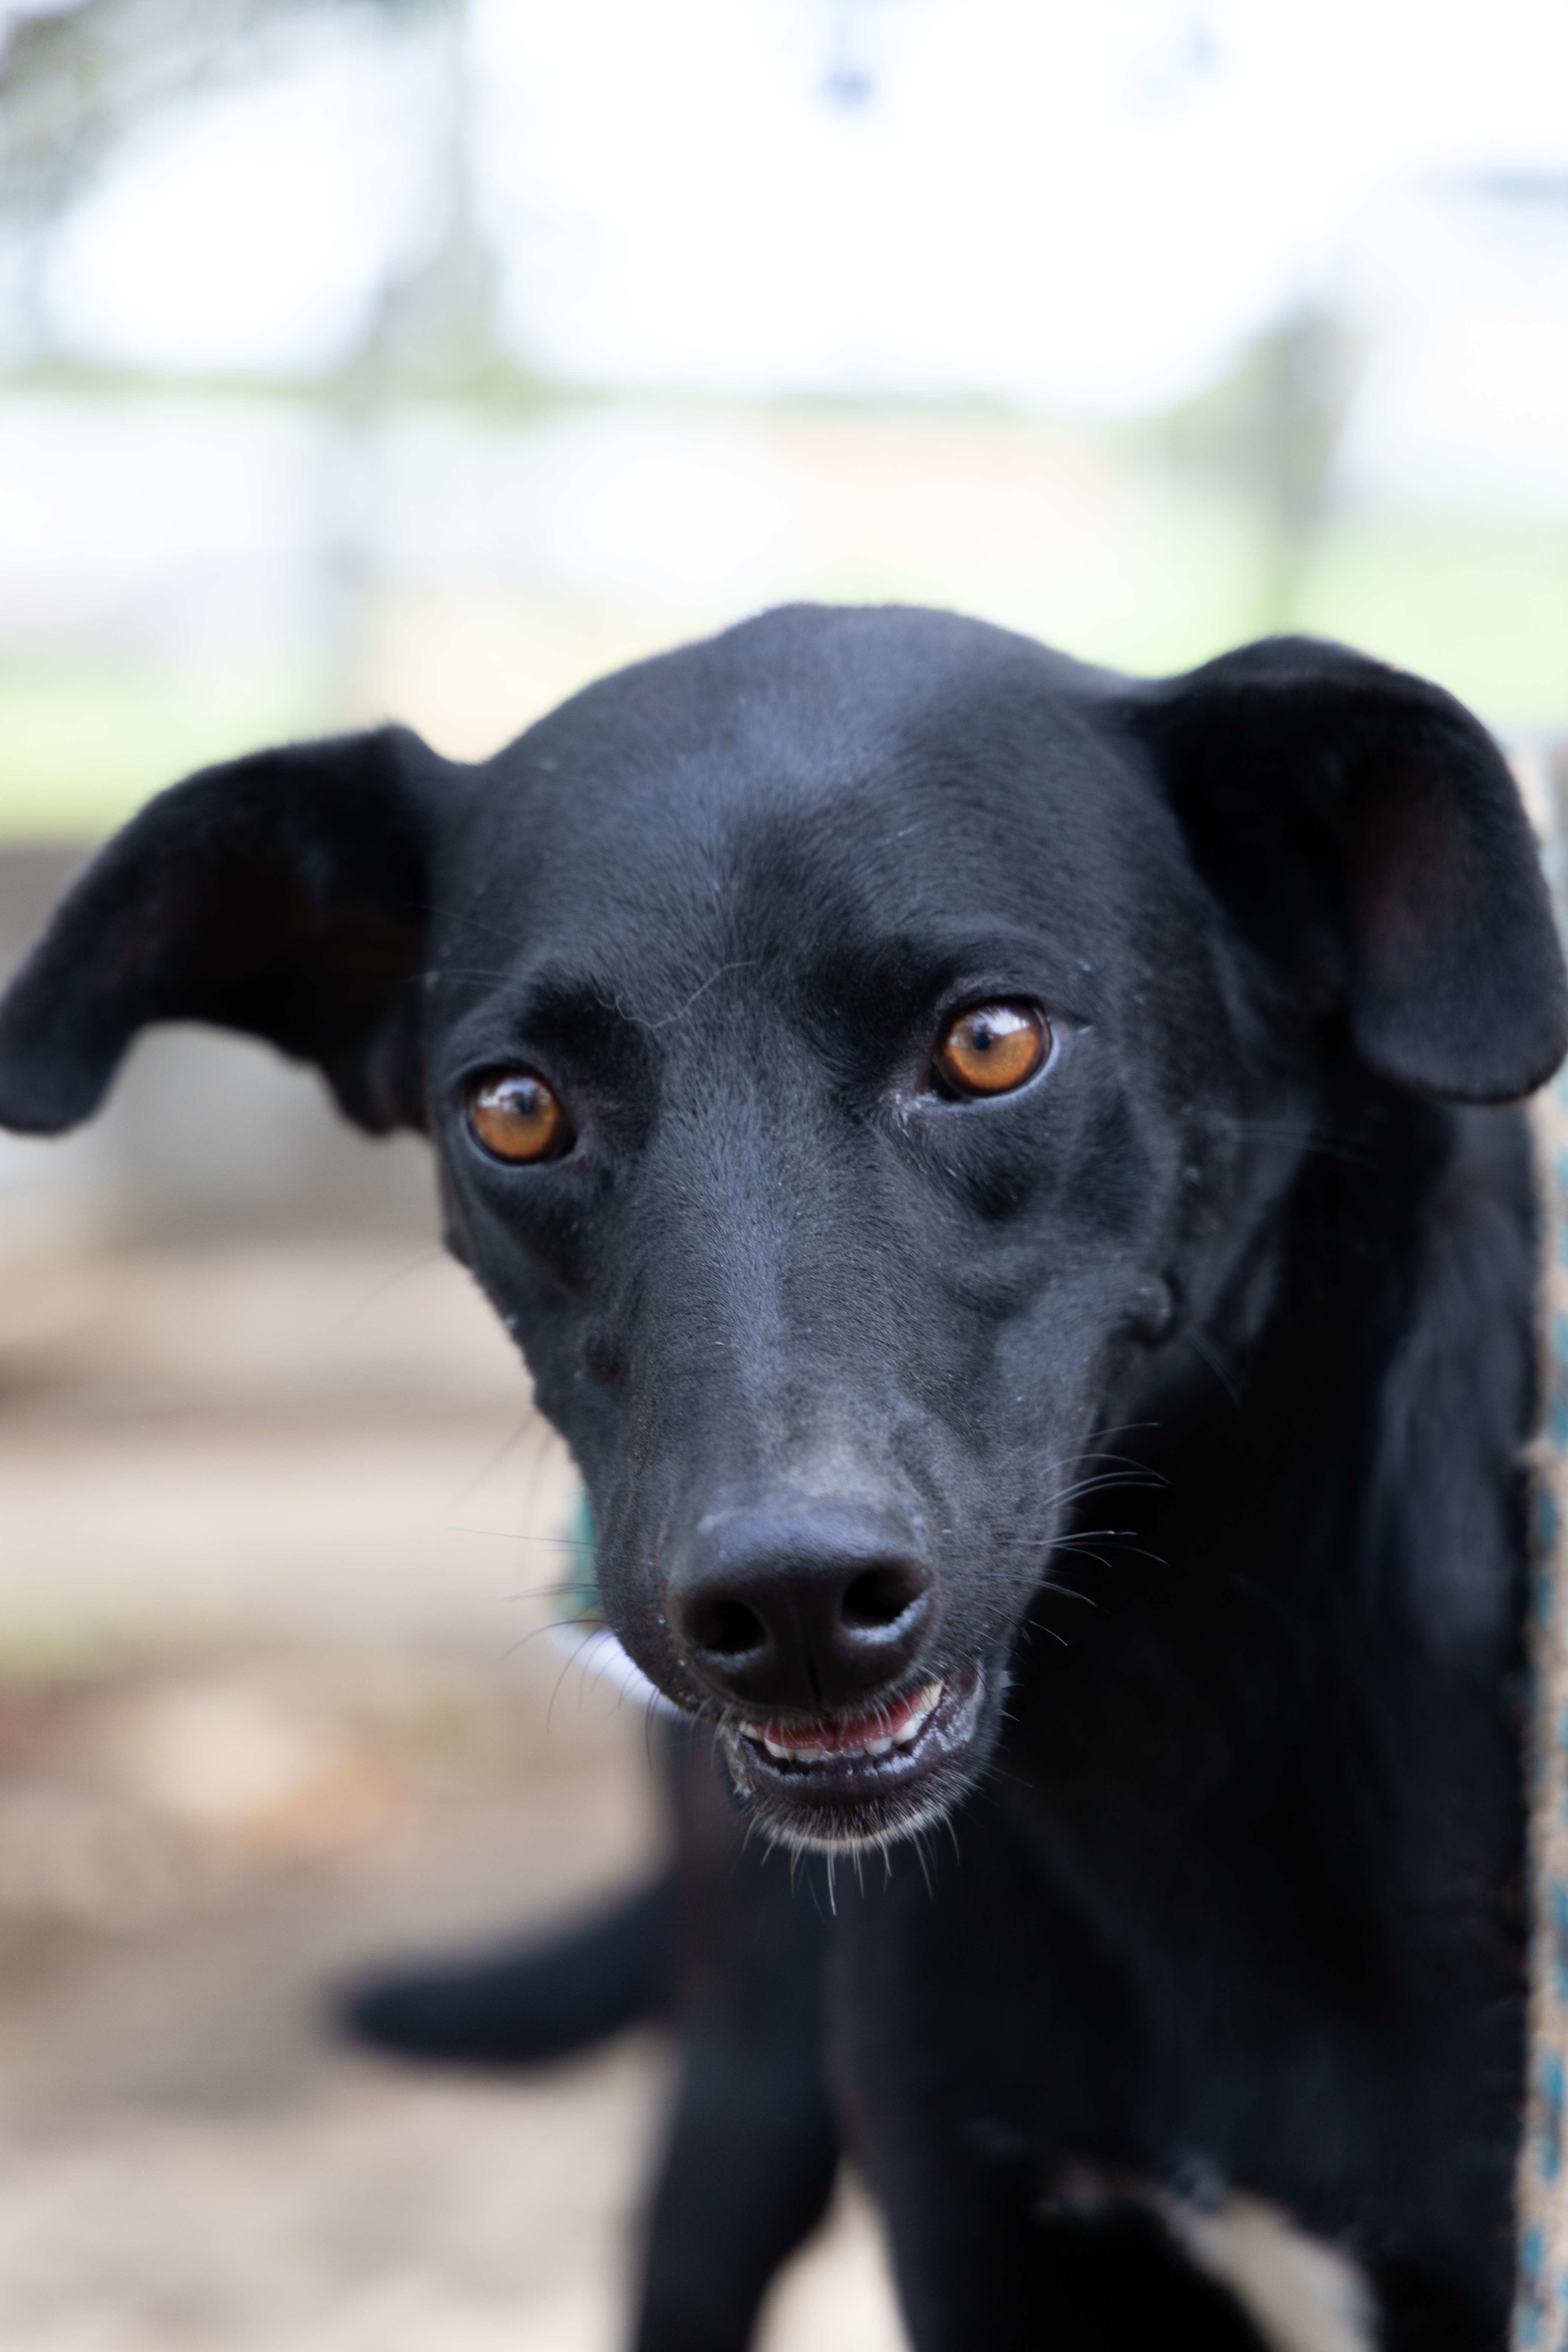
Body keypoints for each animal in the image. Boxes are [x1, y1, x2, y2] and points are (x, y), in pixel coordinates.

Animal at [1, 605, 1563, 2350]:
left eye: (991, 1042)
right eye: (516, 1108)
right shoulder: (975, 2232)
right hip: (735, 2103)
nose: (793, 1602)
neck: (1179, 1715)